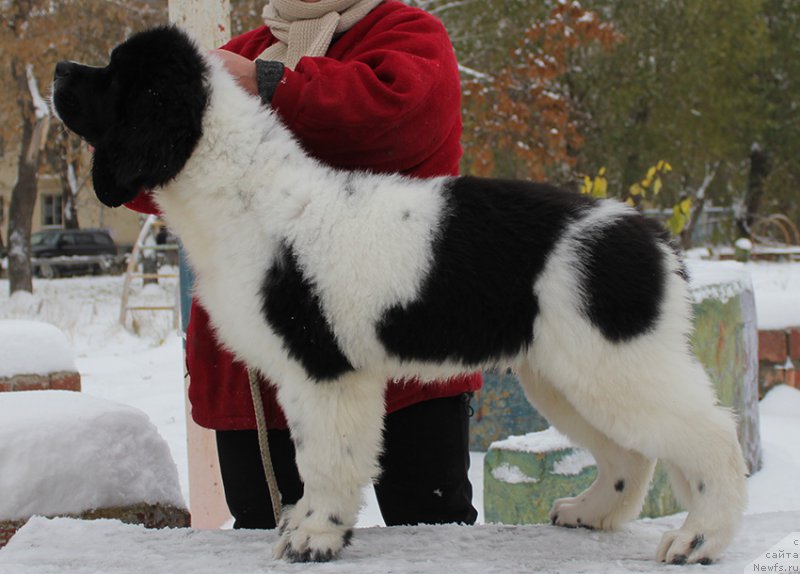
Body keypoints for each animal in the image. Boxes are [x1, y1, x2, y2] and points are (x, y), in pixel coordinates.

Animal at [53, 27, 748, 568]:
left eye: (114, 76)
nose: (59, 69)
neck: (243, 191)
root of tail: (655, 237)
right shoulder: (304, 377)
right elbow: (311, 456)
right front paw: (304, 523)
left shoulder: (327, 370)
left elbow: (327, 459)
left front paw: (315, 538)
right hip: (566, 374)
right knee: (632, 453)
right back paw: (595, 512)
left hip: (615, 363)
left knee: (711, 437)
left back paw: (699, 540)